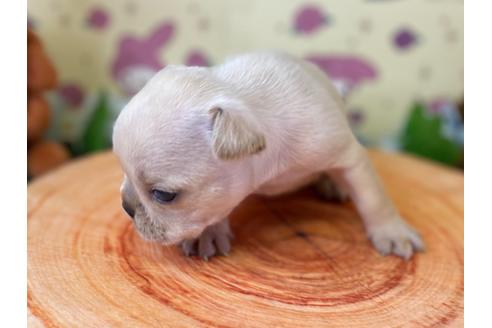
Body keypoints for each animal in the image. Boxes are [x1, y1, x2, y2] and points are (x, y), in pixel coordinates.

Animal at [113, 52, 424, 260]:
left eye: (163, 195)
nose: (126, 206)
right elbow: (212, 210)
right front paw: (208, 233)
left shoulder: (348, 155)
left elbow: (374, 198)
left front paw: (391, 231)